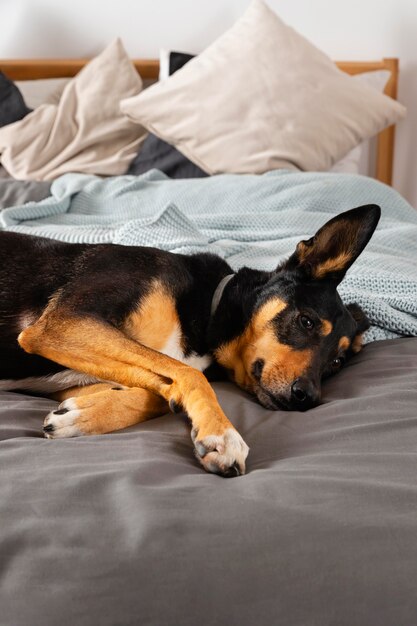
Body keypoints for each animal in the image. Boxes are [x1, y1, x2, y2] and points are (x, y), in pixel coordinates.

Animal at [0, 204, 378, 472]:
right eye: (307, 321)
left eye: (337, 361)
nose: (308, 398)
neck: (209, 307)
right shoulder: (61, 325)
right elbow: (190, 374)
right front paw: (222, 435)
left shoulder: (64, 372)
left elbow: (159, 388)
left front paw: (81, 415)